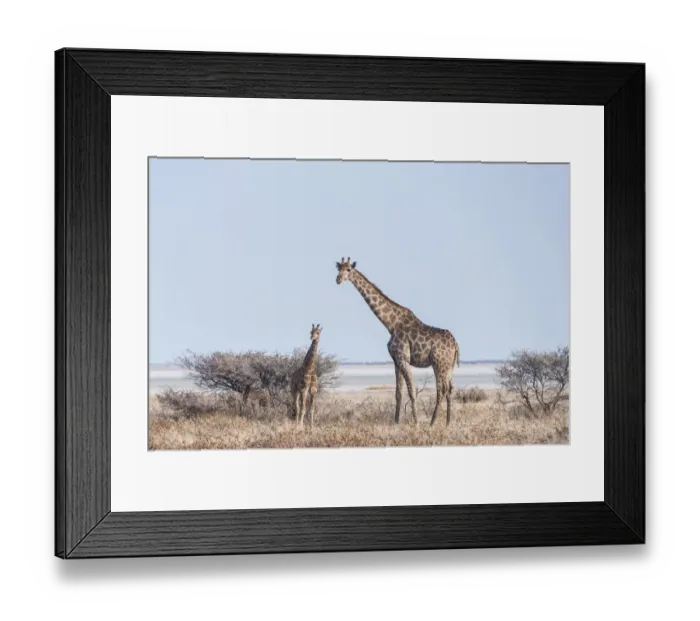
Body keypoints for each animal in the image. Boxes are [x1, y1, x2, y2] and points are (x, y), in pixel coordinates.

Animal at [335, 258, 460, 426]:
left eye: (348, 269)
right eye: (339, 269)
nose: (338, 279)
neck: (390, 324)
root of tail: (455, 345)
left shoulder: (403, 358)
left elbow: (411, 391)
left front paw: (415, 422)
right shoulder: (396, 360)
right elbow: (398, 393)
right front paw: (396, 421)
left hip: (439, 364)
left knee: (442, 390)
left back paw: (432, 422)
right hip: (449, 366)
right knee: (450, 389)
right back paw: (447, 423)